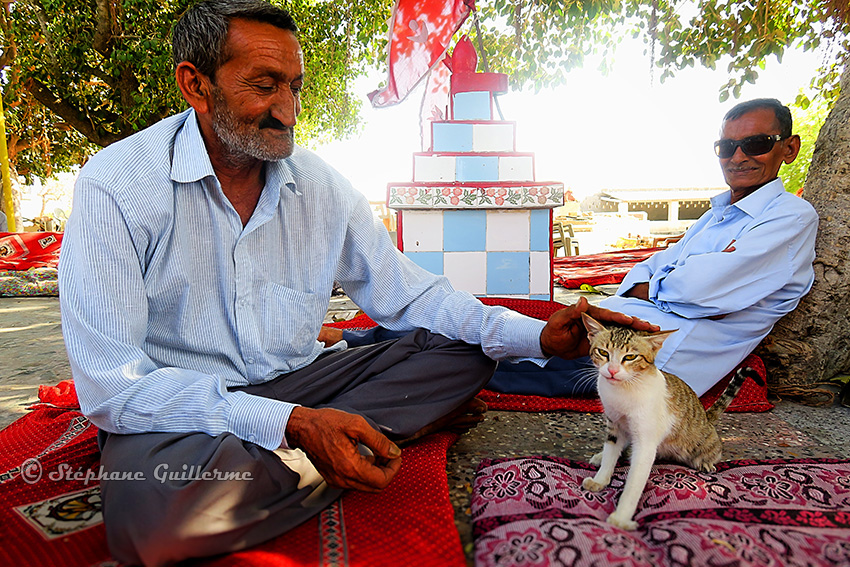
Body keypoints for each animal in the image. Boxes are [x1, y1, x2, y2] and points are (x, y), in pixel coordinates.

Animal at [576, 312, 760, 532]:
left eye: (630, 357)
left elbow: (634, 481)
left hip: (704, 444)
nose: (611, 371)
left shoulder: (646, 441)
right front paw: (601, 478)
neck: (623, 391)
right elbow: (611, 454)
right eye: (603, 352)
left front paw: (621, 518)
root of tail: (706, 417)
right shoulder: (615, 425)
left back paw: (705, 463)